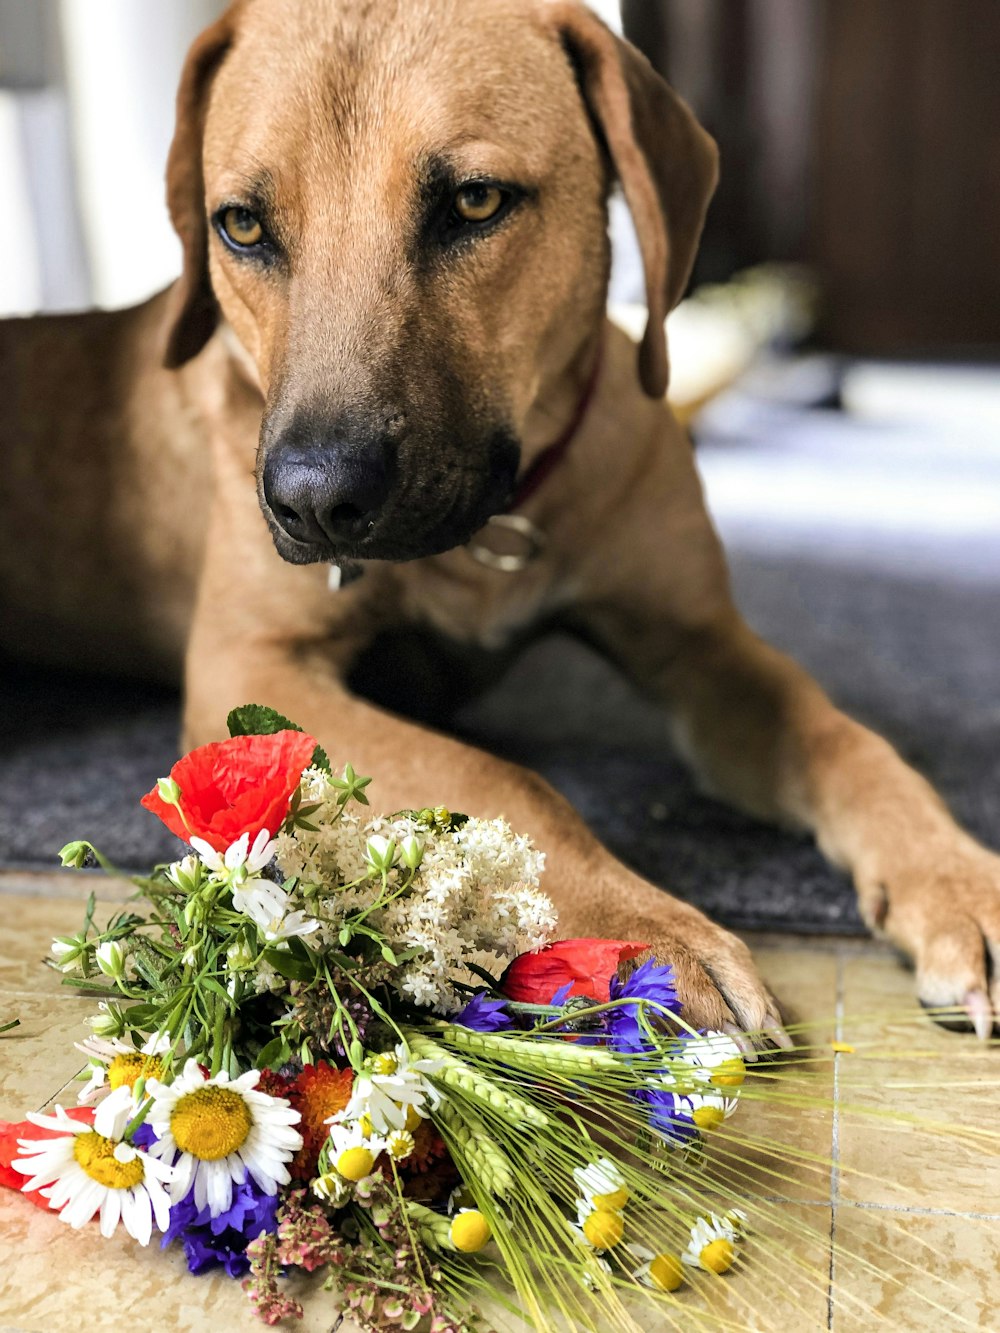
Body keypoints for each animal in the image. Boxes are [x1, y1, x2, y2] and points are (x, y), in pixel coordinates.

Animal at [1, 0, 1000, 1039]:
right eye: (241, 225)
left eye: (476, 203)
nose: (315, 499)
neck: (496, 528)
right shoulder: (254, 670)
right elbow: (502, 780)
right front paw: (649, 936)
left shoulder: (699, 641)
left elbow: (842, 737)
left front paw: (954, 879)